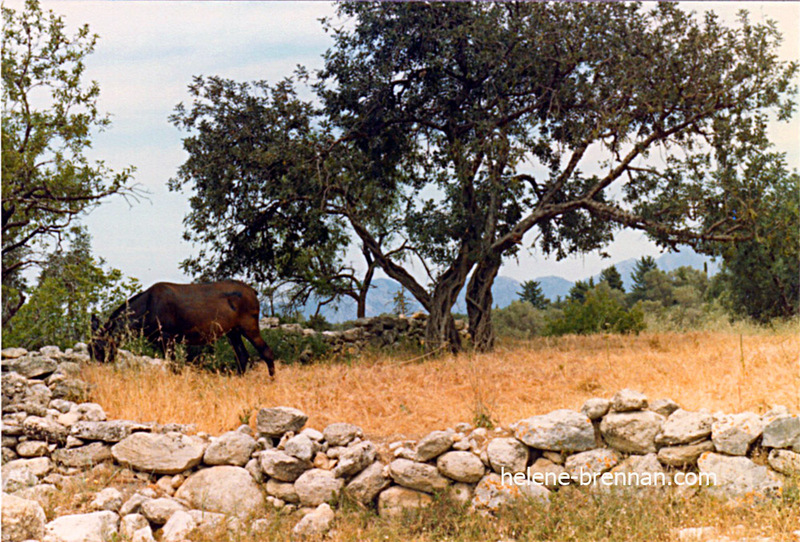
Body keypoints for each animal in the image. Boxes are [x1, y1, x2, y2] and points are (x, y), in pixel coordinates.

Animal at [90, 282, 276, 376]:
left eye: (98, 347)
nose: (97, 370)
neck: (143, 314)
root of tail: (254, 292)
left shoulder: (167, 337)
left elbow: (174, 366)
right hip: (233, 331)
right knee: (243, 357)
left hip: (249, 326)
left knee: (266, 352)